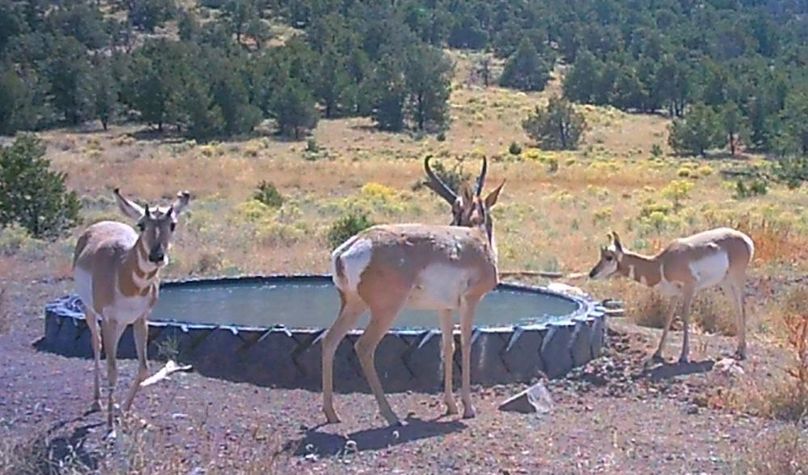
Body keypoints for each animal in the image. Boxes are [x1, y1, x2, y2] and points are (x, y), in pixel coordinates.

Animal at [73, 189, 191, 432]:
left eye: (172, 224)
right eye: (142, 224)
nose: (157, 256)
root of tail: (101, 224)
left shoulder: (140, 320)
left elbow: (143, 367)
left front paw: (123, 413)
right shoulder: (109, 319)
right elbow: (112, 369)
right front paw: (110, 426)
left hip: (121, 324)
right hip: (91, 312)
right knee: (97, 345)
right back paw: (97, 401)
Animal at [322, 156, 504, 428]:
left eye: (455, 209)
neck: (475, 236)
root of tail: (350, 247)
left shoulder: (445, 308)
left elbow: (447, 346)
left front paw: (450, 406)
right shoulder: (470, 302)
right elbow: (466, 345)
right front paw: (468, 408)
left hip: (353, 306)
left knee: (329, 340)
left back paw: (332, 414)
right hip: (385, 311)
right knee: (364, 347)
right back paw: (392, 417)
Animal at [588, 229, 752, 362]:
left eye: (609, 257)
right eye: (601, 255)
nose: (592, 274)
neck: (662, 263)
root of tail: (746, 239)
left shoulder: (689, 288)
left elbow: (685, 317)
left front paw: (684, 356)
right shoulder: (674, 294)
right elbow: (668, 318)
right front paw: (658, 353)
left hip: (736, 277)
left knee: (742, 306)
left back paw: (743, 352)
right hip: (726, 282)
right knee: (736, 307)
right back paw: (739, 349)